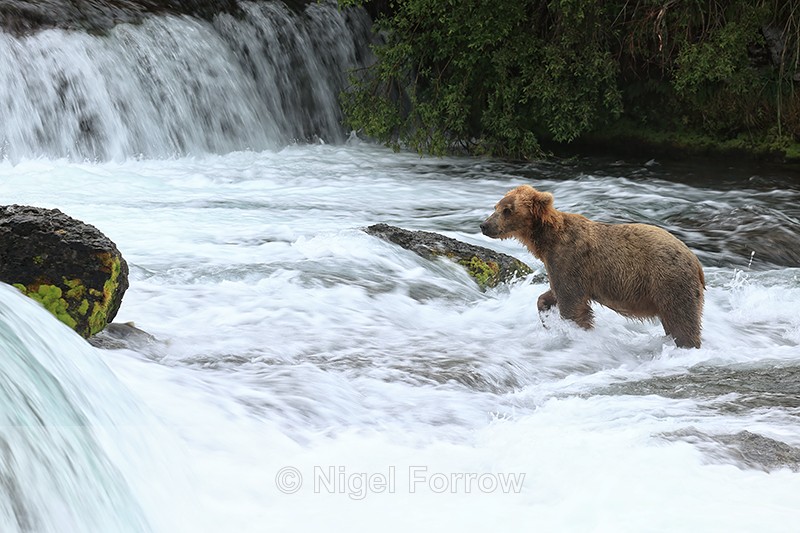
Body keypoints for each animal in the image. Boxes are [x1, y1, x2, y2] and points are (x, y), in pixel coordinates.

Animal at [480, 185, 705, 348]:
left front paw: (577, 331)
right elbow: (551, 294)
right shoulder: (559, 267)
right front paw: (547, 315)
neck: (546, 241)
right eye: (495, 207)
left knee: (681, 320)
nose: (484, 225)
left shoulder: (570, 260)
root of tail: (696, 261)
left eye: (507, 210)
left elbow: (572, 304)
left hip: (668, 281)